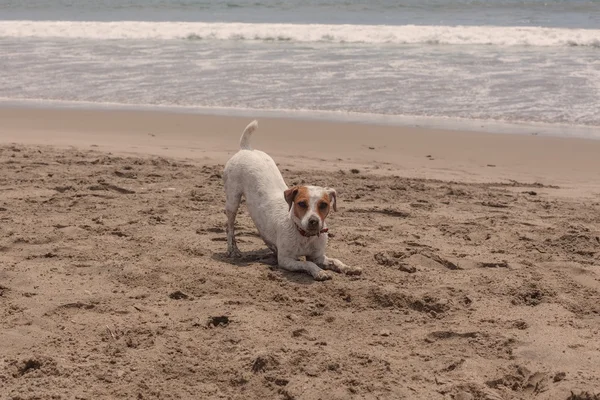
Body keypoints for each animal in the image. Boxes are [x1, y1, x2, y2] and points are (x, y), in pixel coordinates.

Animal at [221, 120, 358, 280]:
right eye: (301, 204)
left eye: (323, 205)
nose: (313, 221)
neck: (305, 235)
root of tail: (247, 149)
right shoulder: (286, 260)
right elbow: (307, 263)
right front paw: (319, 272)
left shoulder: (318, 257)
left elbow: (335, 261)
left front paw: (349, 268)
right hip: (232, 200)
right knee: (230, 227)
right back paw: (233, 250)